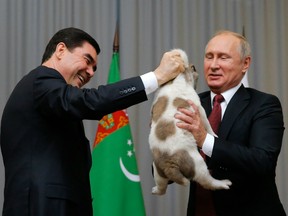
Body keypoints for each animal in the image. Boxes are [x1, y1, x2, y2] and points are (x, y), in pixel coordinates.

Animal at [148, 49, 232, 196]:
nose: (195, 67)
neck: (174, 81)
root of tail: (169, 164)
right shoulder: (199, 109)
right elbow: (208, 125)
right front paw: (214, 135)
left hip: (158, 171)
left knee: (161, 188)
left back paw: (155, 190)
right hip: (197, 163)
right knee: (207, 181)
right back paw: (223, 183)